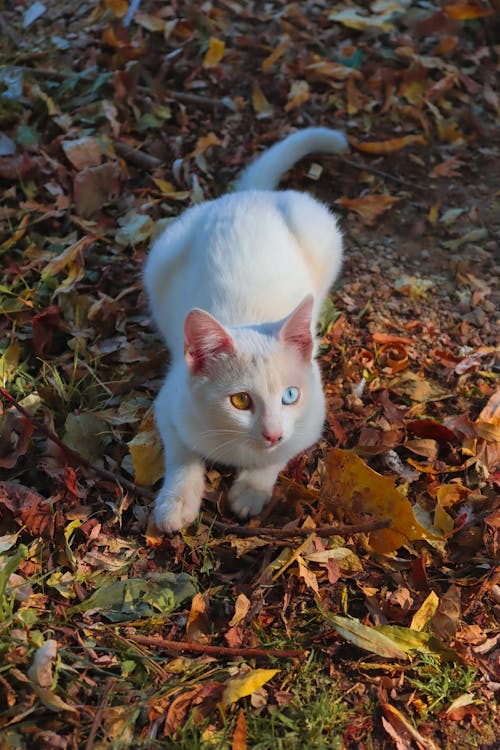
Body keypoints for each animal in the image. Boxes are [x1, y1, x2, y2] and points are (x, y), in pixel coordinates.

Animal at [145, 126, 348, 532]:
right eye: (240, 400)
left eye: (290, 396)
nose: (271, 432)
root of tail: (250, 196)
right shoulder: (171, 404)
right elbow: (182, 455)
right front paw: (177, 502)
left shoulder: (309, 421)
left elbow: (278, 456)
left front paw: (251, 491)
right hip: (162, 252)